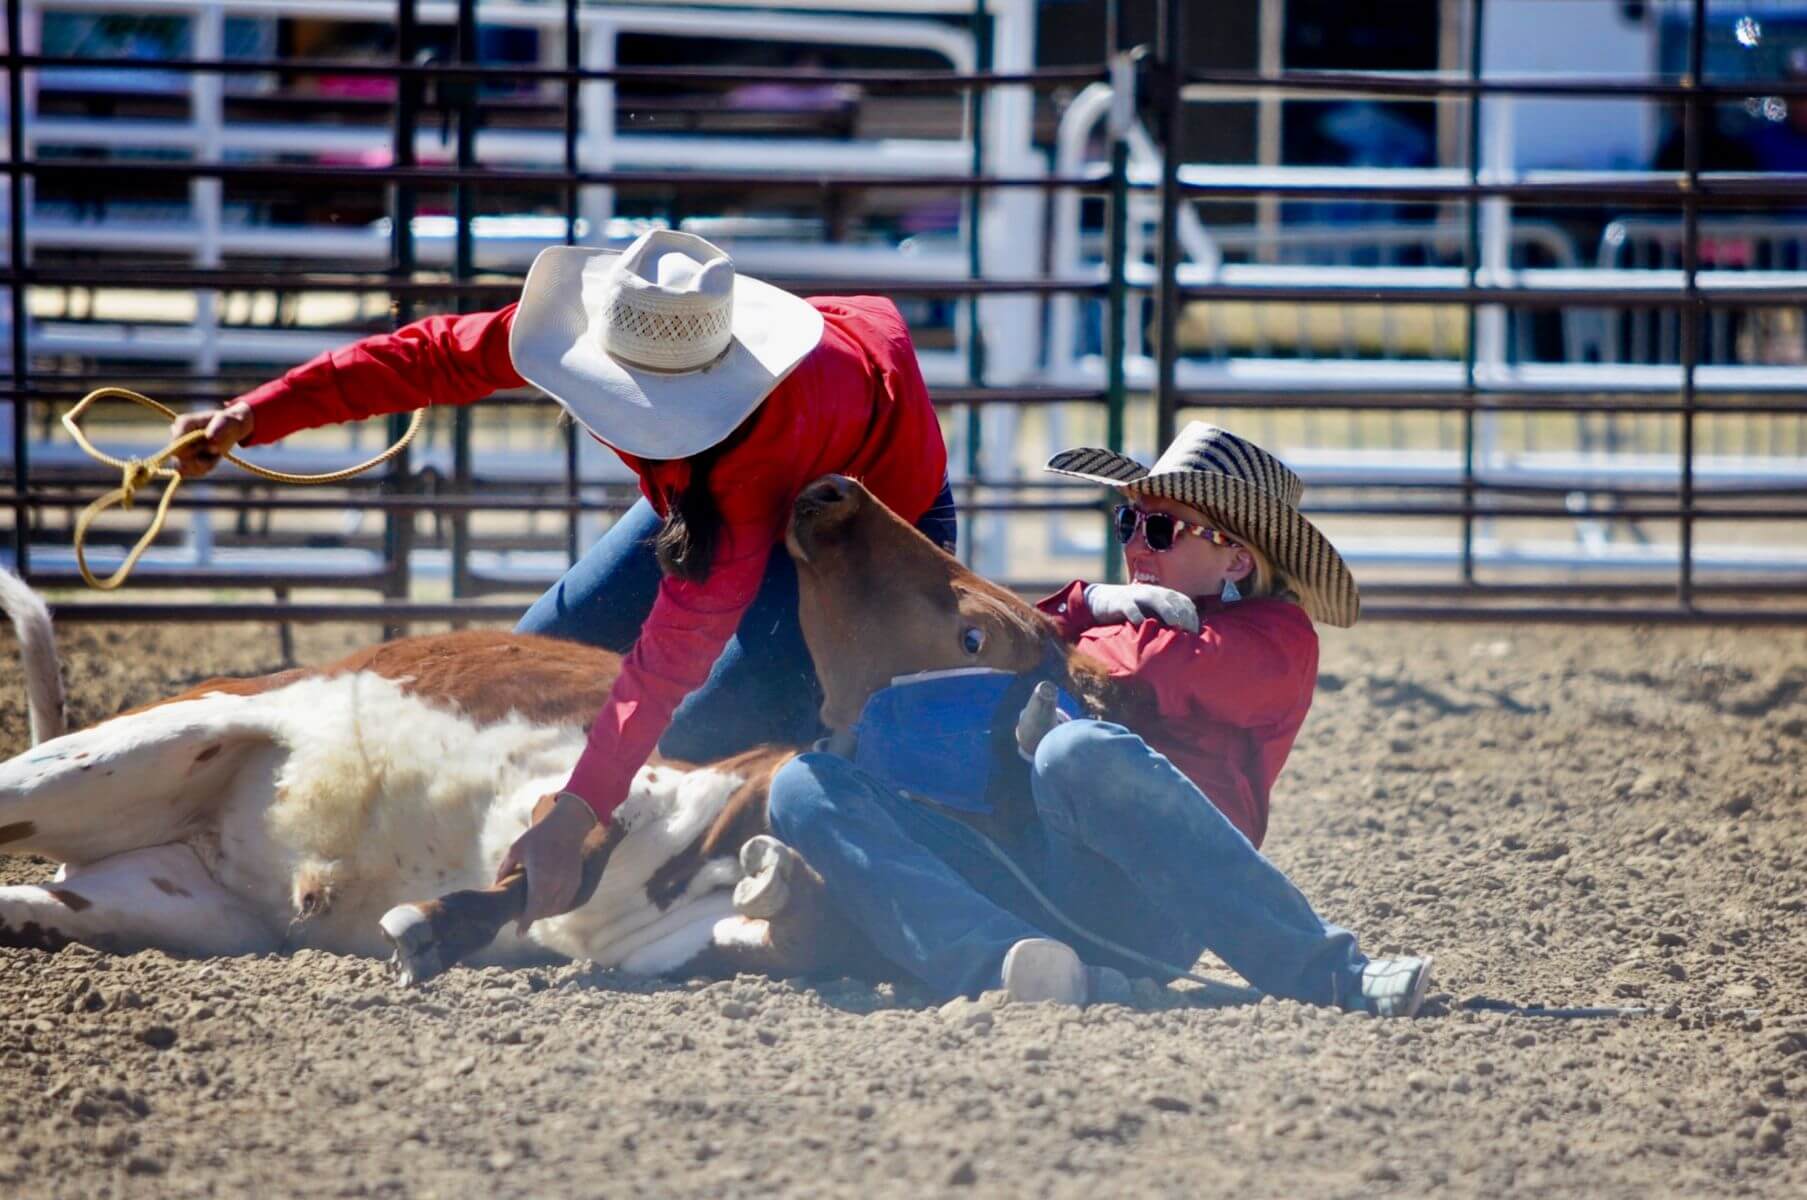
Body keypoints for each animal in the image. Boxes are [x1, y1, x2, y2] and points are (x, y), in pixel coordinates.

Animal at [0, 476, 1143, 987]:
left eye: (971, 630)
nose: (830, 493)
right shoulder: (640, 784)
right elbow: (569, 831)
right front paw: (442, 916)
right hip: (141, 745)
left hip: (176, 908)